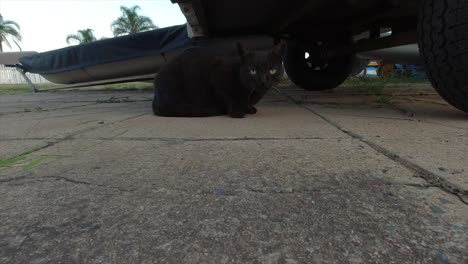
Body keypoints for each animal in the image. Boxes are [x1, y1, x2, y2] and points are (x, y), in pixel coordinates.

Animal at [153, 41, 286, 117]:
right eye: (252, 70)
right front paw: (236, 112)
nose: (263, 80)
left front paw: (249, 108)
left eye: (272, 70)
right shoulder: (217, 75)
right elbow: (229, 97)